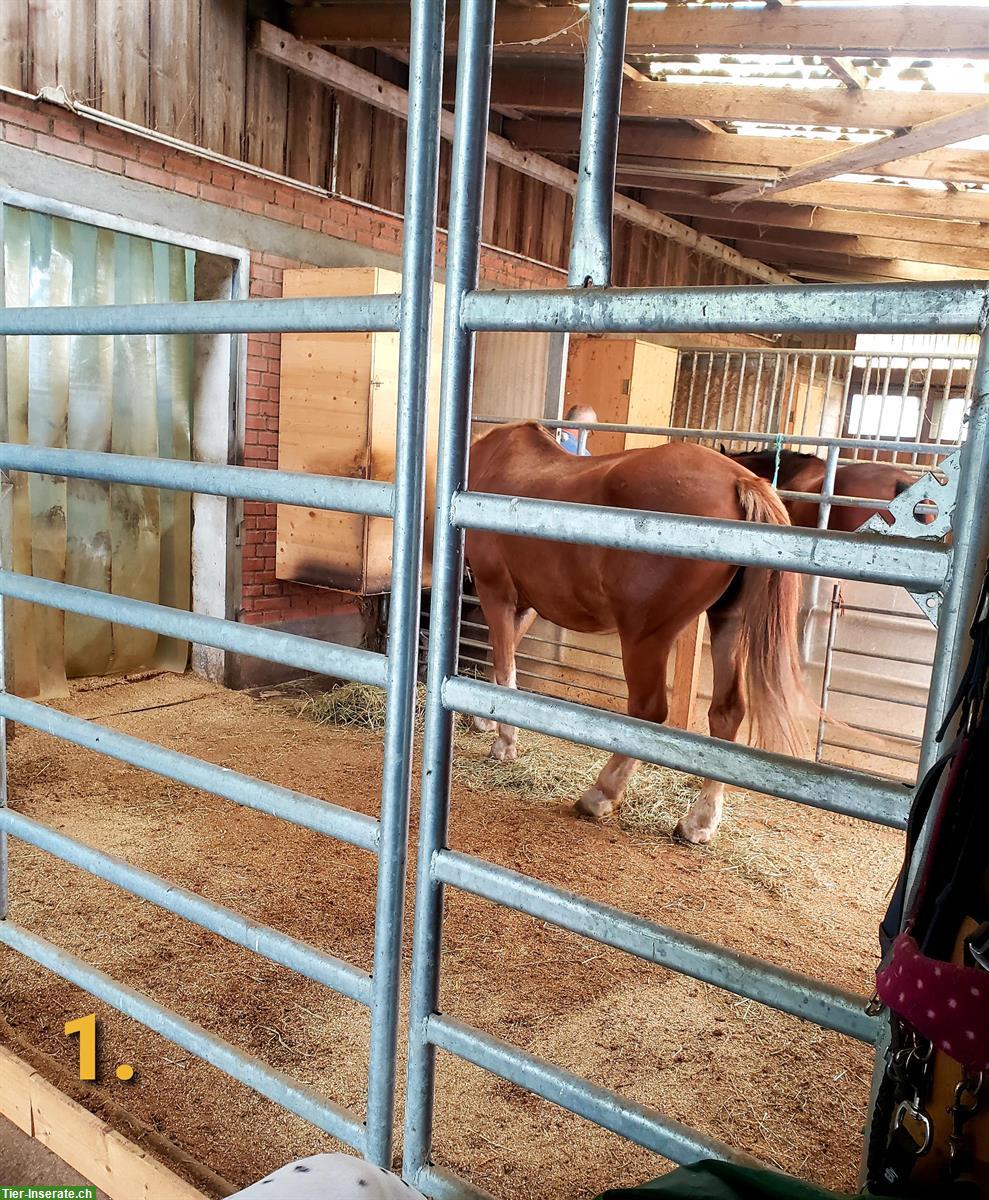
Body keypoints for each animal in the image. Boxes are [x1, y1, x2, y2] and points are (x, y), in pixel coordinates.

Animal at [468, 422, 806, 844]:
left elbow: (505, 670)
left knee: (648, 712)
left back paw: (600, 794)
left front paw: (503, 742)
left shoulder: (496, 593)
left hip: (645, 637)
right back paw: (699, 822)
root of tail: (739, 481)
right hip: (728, 623)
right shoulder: (526, 605)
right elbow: (505, 664)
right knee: (727, 713)